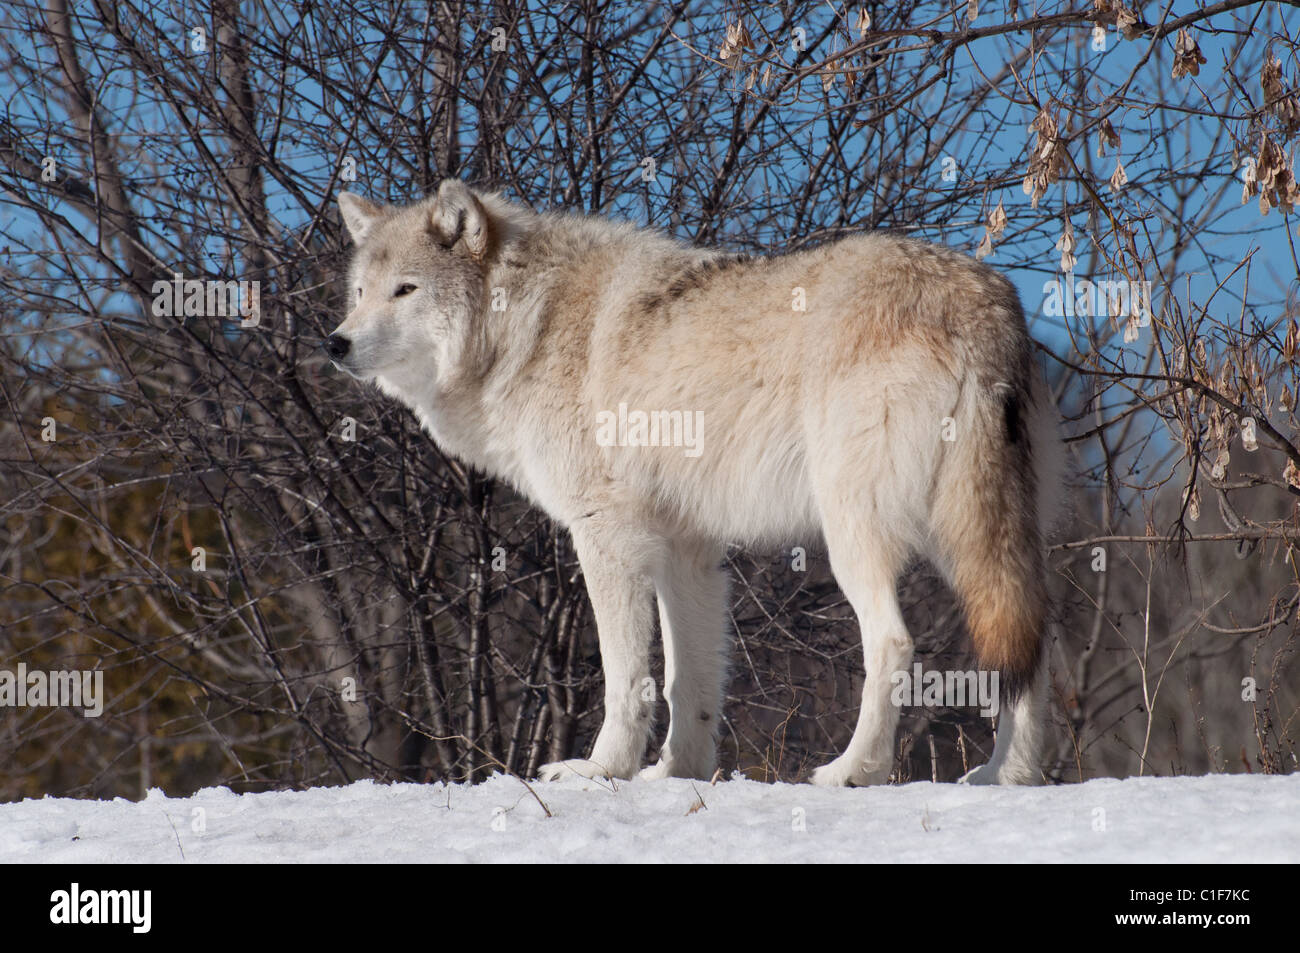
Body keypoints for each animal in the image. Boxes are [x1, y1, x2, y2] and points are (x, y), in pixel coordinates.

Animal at [327, 180, 1060, 786]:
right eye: (360, 293)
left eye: (405, 290)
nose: (335, 343)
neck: (524, 328)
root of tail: (984, 302)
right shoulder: (689, 550)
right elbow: (691, 680)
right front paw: (677, 773)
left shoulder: (606, 535)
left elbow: (626, 675)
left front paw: (602, 770)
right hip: (971, 536)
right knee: (1030, 643)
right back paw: (1008, 775)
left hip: (857, 532)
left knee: (895, 642)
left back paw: (854, 770)